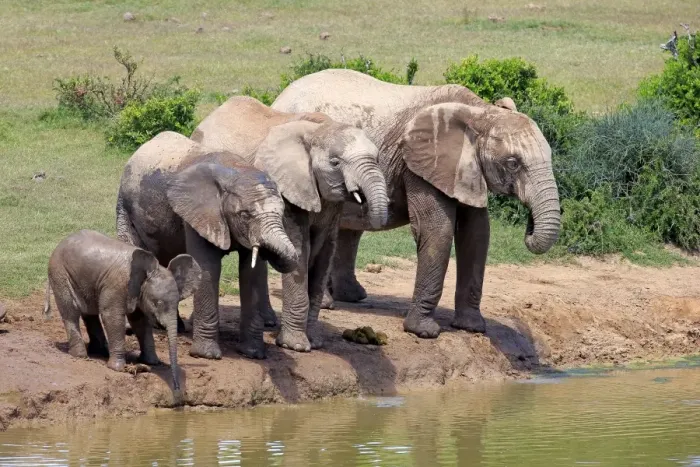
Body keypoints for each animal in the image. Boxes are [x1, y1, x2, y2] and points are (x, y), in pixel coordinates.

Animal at [43, 229, 201, 402]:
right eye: (157, 303)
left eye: (178, 301)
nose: (178, 392)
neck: (147, 272)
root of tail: (60, 244)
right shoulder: (116, 286)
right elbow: (112, 317)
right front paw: (118, 368)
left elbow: (140, 322)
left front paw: (152, 362)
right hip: (60, 273)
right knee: (71, 312)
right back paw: (81, 356)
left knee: (89, 313)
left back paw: (100, 351)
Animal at [116, 131, 299, 360]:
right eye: (244, 215)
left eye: (282, 213)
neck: (236, 170)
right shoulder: (199, 212)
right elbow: (208, 267)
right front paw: (207, 355)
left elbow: (251, 273)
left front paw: (254, 354)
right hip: (125, 205)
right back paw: (132, 329)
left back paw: (173, 326)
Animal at [190, 96, 389, 352]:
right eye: (335, 163)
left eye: (378, 159)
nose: (363, 200)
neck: (320, 130)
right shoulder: (288, 190)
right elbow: (300, 248)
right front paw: (296, 346)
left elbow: (324, 253)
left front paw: (315, 342)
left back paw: (268, 322)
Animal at [272, 69, 562, 338]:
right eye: (513, 163)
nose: (529, 226)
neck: (480, 111)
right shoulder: (418, 163)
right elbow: (437, 230)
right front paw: (423, 331)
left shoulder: (464, 169)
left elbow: (477, 233)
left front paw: (472, 327)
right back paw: (331, 304)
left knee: (348, 229)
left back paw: (353, 296)